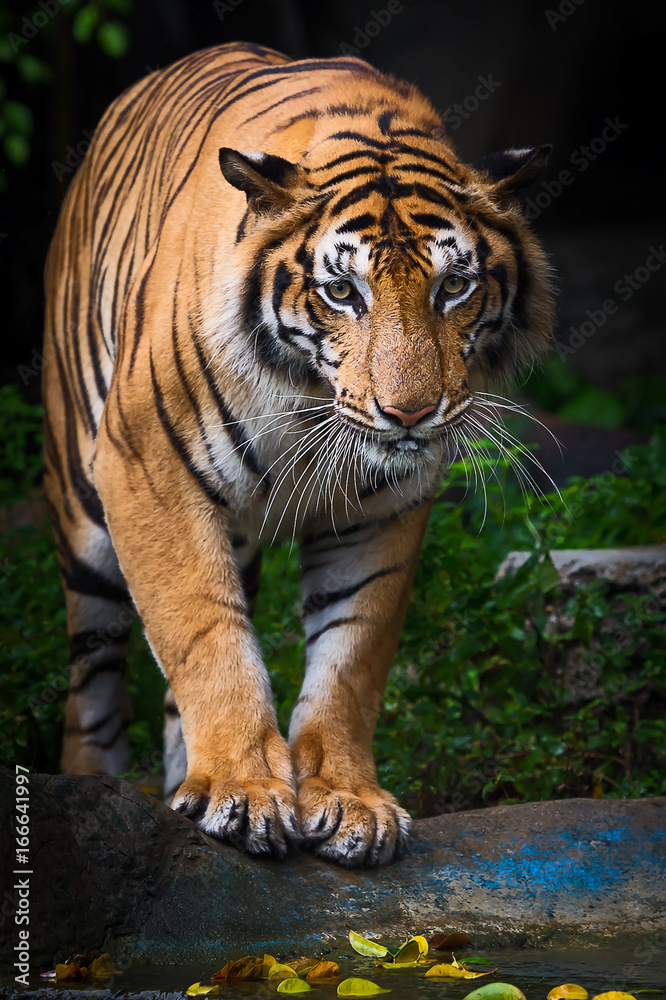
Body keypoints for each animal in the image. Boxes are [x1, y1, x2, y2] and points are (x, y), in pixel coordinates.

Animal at [43, 41, 553, 867]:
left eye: (454, 286)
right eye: (342, 291)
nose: (410, 412)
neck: (310, 398)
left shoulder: (384, 509)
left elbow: (352, 656)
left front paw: (349, 802)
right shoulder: (146, 466)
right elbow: (205, 635)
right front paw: (244, 792)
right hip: (83, 516)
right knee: (94, 683)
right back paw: (97, 789)